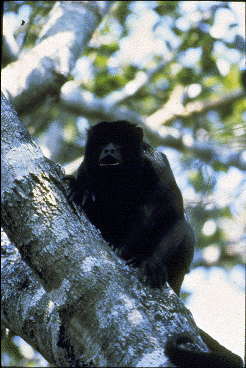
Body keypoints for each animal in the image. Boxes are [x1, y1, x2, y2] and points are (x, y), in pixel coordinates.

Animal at [65, 121, 244, 368]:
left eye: (119, 141)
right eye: (102, 142)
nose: (109, 149)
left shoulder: (158, 164)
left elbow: (174, 216)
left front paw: (151, 262)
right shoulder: (85, 168)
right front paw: (79, 189)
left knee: (174, 223)